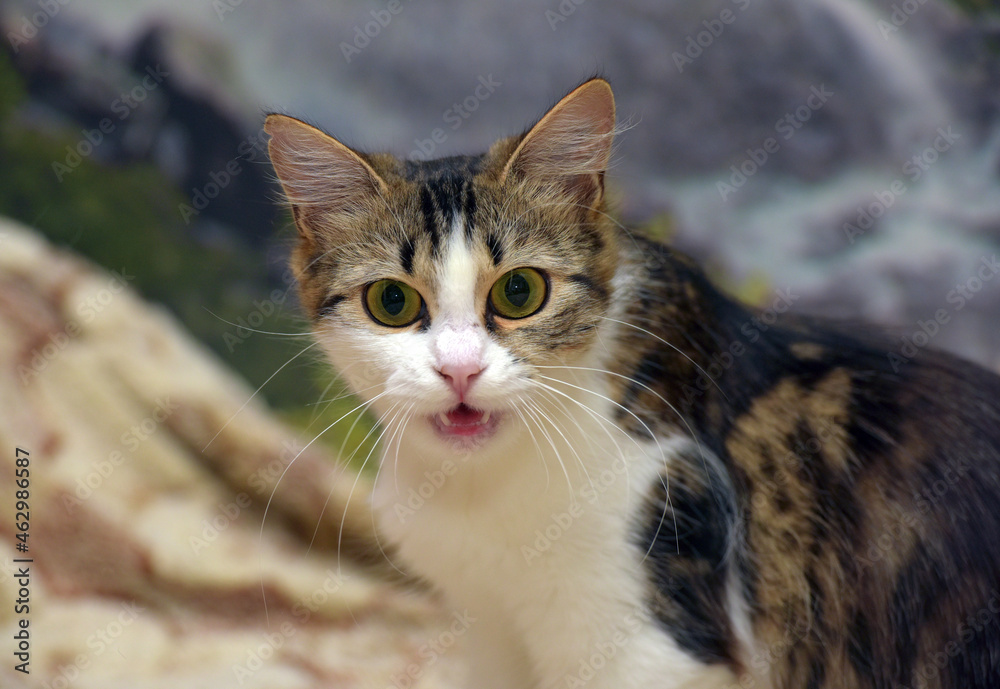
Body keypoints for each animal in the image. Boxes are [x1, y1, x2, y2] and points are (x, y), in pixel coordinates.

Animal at [264, 79, 1000, 688]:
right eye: (391, 301)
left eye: (520, 292)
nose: (460, 368)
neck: (485, 490)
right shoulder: (493, 628)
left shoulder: (648, 641)